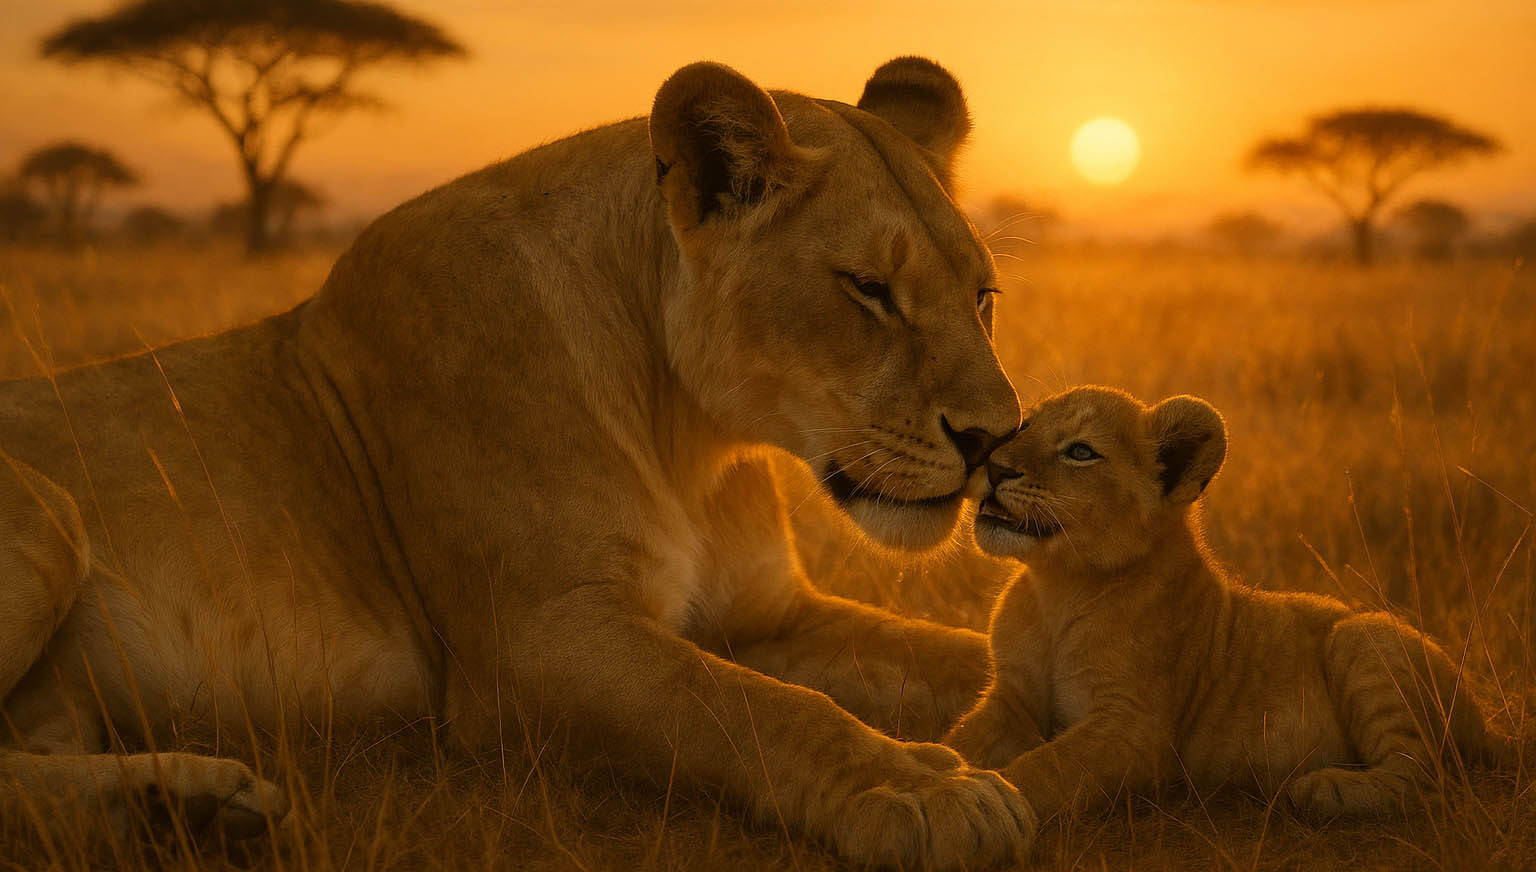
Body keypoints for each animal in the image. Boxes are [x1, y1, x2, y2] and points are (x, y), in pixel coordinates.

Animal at [0, 59, 1035, 867]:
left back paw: (184, 809)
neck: (688, 434)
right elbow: (754, 708)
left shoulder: (767, 615)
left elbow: (953, 652)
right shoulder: (527, 651)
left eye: (984, 295)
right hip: (48, 515)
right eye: (869, 289)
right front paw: (927, 792)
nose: (994, 440)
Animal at [943, 385, 1508, 823]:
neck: (1058, 588)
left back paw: (1323, 788)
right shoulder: (1012, 697)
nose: (994, 466)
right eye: (1024, 426)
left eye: (1080, 453)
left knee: (1427, 780)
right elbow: (960, 740)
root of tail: (1486, 723)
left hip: (1362, 636)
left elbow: (1047, 768)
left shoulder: (1137, 729)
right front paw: (935, 772)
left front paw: (988, 798)